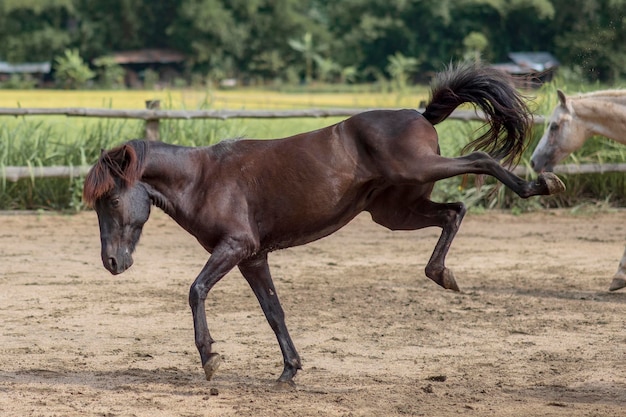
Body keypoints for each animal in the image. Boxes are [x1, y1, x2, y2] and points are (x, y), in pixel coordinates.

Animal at [81, 62, 560, 386]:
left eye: (113, 198)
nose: (111, 262)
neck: (203, 179)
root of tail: (420, 114)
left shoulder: (234, 247)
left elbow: (196, 290)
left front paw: (211, 359)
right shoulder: (252, 258)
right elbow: (273, 311)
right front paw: (289, 371)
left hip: (418, 171)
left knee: (479, 161)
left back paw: (540, 184)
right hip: (394, 212)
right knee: (453, 211)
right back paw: (442, 274)